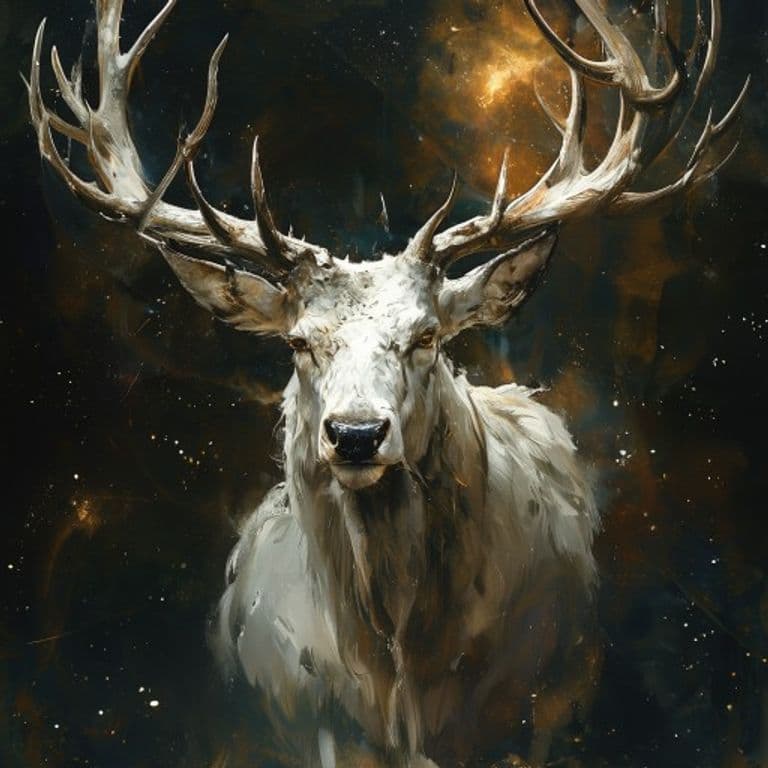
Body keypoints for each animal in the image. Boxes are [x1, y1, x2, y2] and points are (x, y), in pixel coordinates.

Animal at [27, 0, 747, 766]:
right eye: (298, 341)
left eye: (427, 335)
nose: (356, 434)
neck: (404, 679)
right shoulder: (313, 725)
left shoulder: (546, 705)